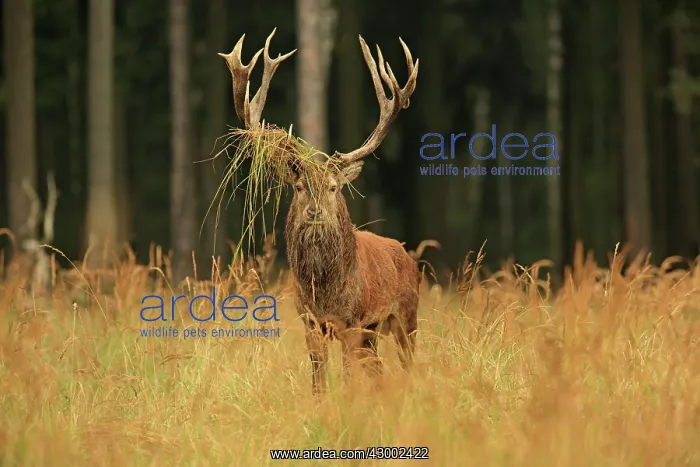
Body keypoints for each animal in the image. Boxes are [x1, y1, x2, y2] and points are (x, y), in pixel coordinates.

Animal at [219, 28, 420, 394]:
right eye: (299, 187)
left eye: (333, 187)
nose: (314, 212)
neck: (325, 293)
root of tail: (409, 256)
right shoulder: (310, 322)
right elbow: (318, 382)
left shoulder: (352, 321)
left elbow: (348, 377)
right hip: (373, 334)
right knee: (379, 370)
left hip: (405, 315)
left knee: (407, 363)